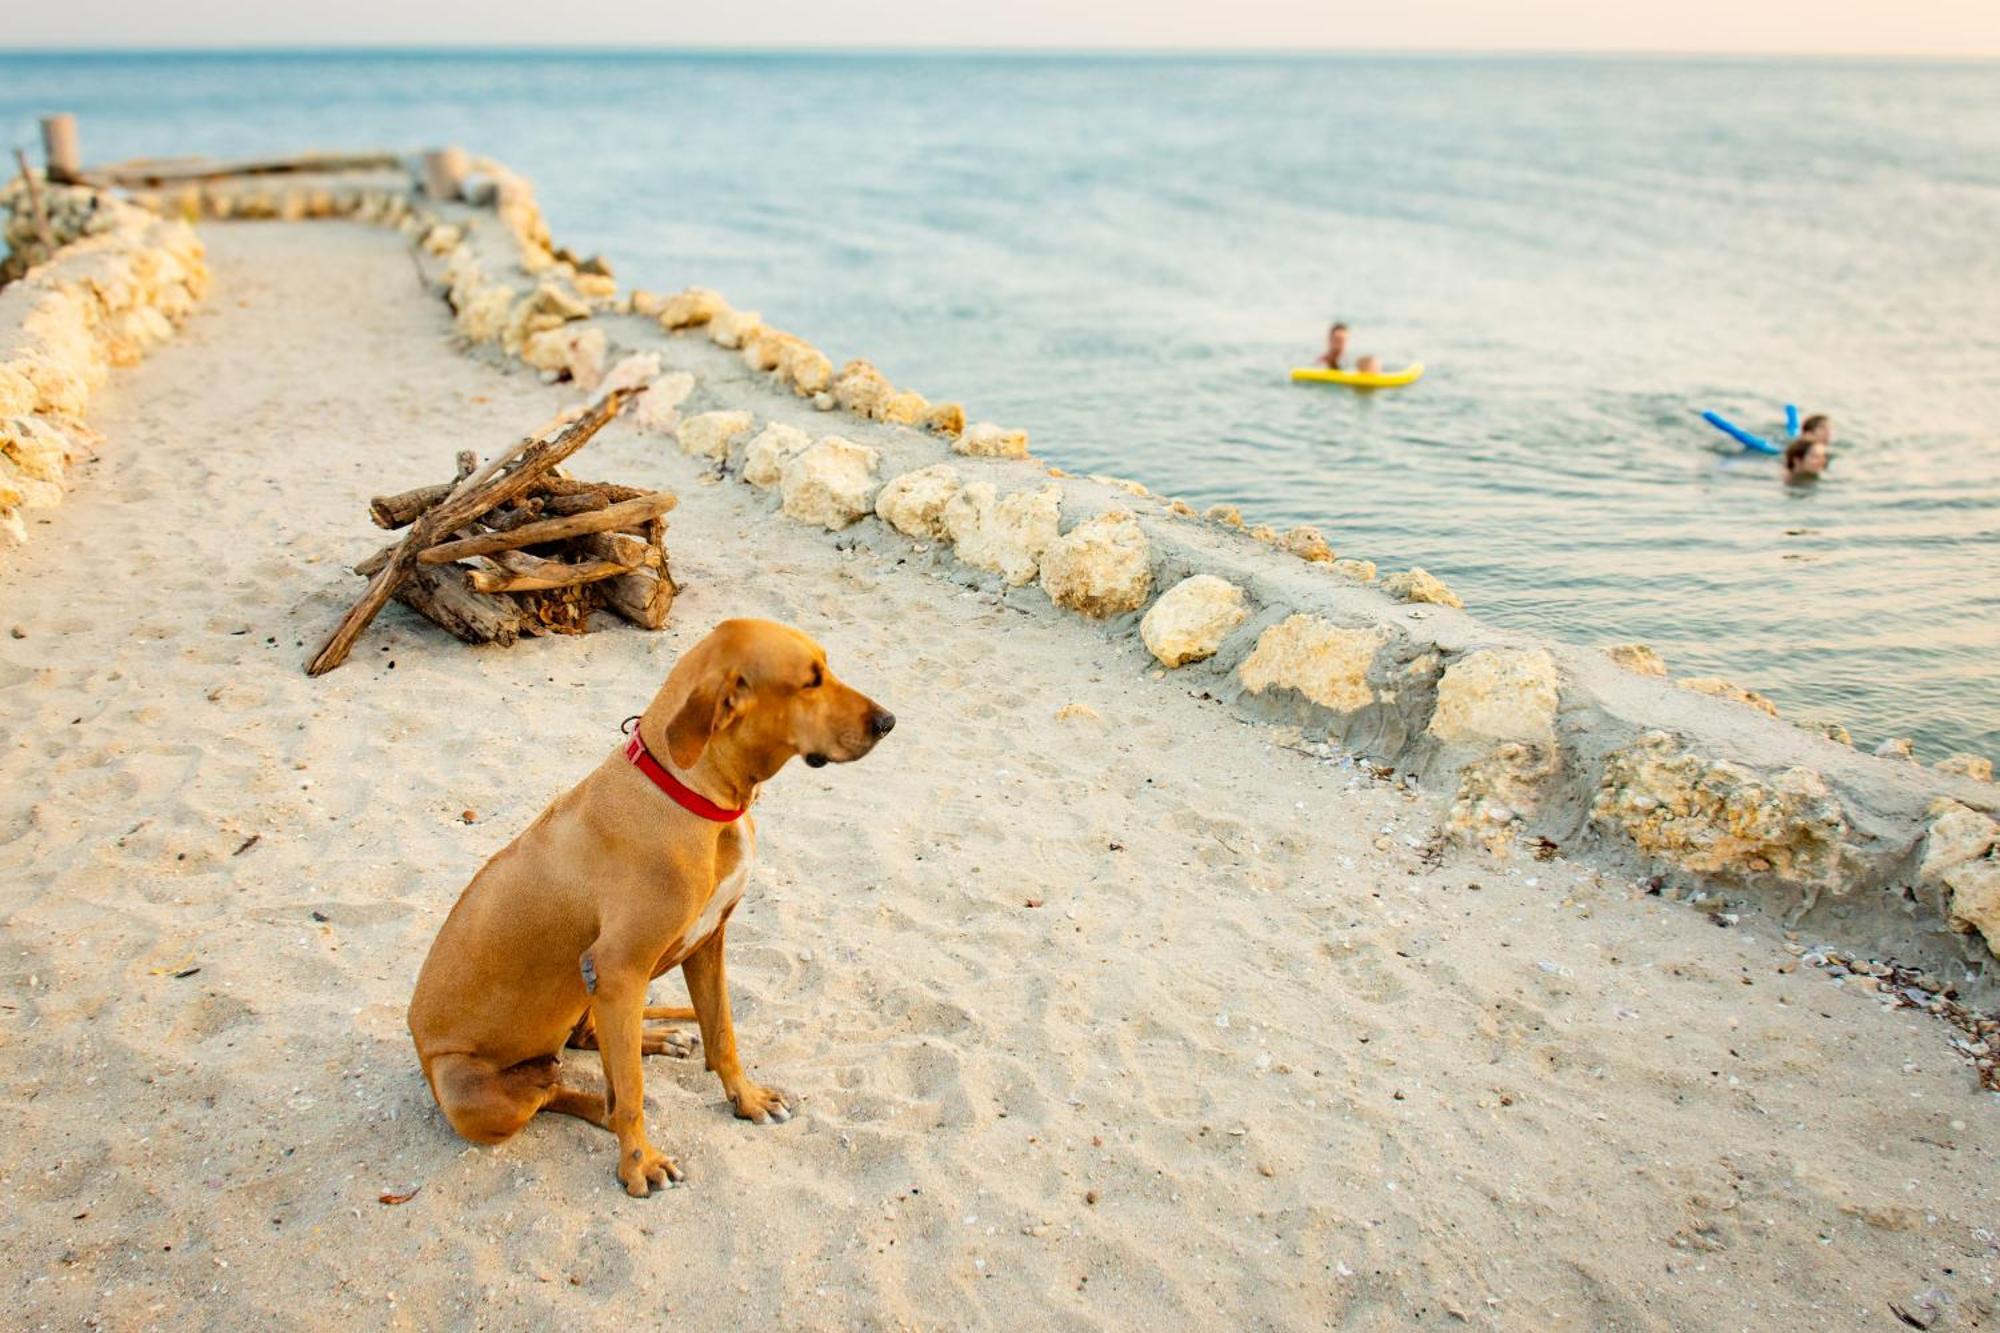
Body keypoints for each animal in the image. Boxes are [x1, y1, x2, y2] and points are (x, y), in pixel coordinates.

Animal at [406, 616, 892, 1184]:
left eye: (827, 668)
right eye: (810, 682)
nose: (889, 722)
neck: (692, 793)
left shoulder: (707, 944)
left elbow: (722, 1034)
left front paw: (746, 1100)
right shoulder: (618, 969)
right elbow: (633, 1089)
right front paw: (639, 1163)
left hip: (586, 994)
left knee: (589, 1045)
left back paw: (656, 1043)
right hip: (473, 1092)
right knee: (556, 1092)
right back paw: (602, 1108)